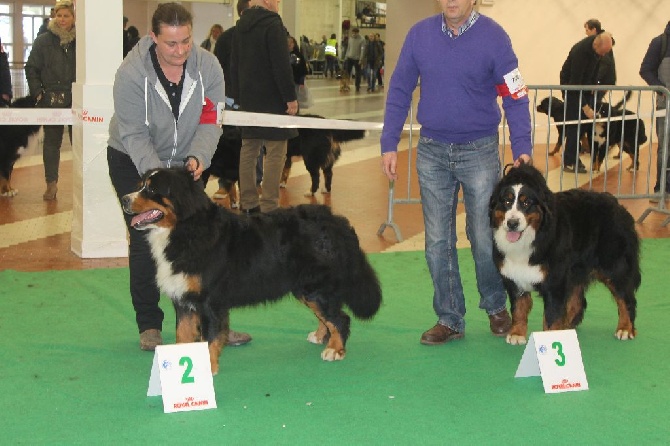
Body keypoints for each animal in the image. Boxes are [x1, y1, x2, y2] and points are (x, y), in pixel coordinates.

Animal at [122, 169, 384, 374]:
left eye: (151, 189)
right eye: (140, 185)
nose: (124, 198)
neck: (185, 230)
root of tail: (335, 220)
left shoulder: (209, 302)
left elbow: (210, 338)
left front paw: (207, 368)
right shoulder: (185, 300)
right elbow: (183, 335)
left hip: (316, 286)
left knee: (339, 318)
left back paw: (335, 350)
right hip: (305, 288)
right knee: (327, 316)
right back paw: (320, 336)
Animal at [490, 164, 644, 344]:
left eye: (526, 202)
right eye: (506, 201)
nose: (512, 223)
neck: (534, 237)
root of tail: (617, 204)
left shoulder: (555, 281)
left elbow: (551, 316)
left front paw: (550, 339)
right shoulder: (514, 277)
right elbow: (519, 307)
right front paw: (517, 333)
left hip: (614, 266)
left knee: (626, 298)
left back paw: (625, 328)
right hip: (575, 270)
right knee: (578, 303)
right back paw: (566, 329)